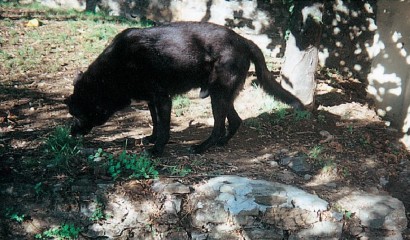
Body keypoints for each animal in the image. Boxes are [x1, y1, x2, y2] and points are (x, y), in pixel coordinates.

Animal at [63, 21, 302, 156]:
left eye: (78, 114)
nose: (71, 133)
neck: (117, 67)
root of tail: (243, 40)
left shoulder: (163, 99)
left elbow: (165, 129)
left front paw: (157, 150)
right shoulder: (152, 100)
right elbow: (156, 124)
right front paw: (152, 139)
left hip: (218, 96)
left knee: (219, 126)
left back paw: (201, 148)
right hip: (222, 96)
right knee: (235, 121)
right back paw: (221, 143)